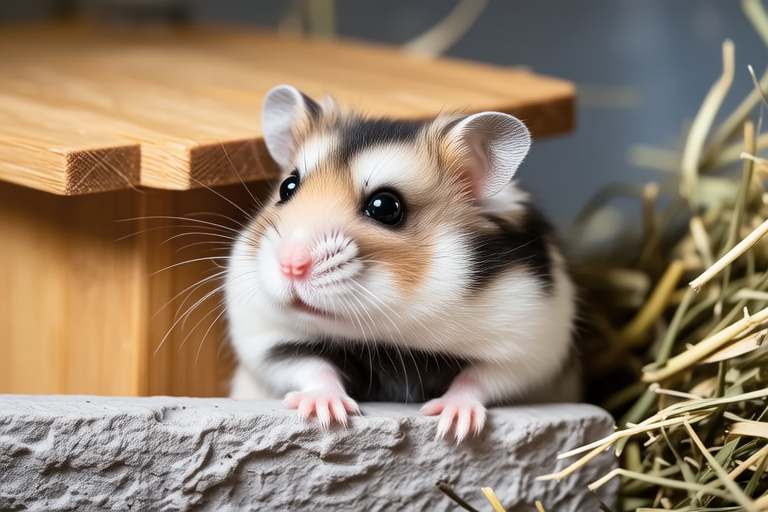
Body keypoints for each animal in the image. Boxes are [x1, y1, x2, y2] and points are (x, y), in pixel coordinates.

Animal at [225, 84, 578, 442]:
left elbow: (478, 378)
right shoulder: (269, 343)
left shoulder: (528, 350)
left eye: (385, 206)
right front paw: (326, 415)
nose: (291, 266)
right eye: (288, 187)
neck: (388, 329)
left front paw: (454, 426)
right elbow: (313, 367)